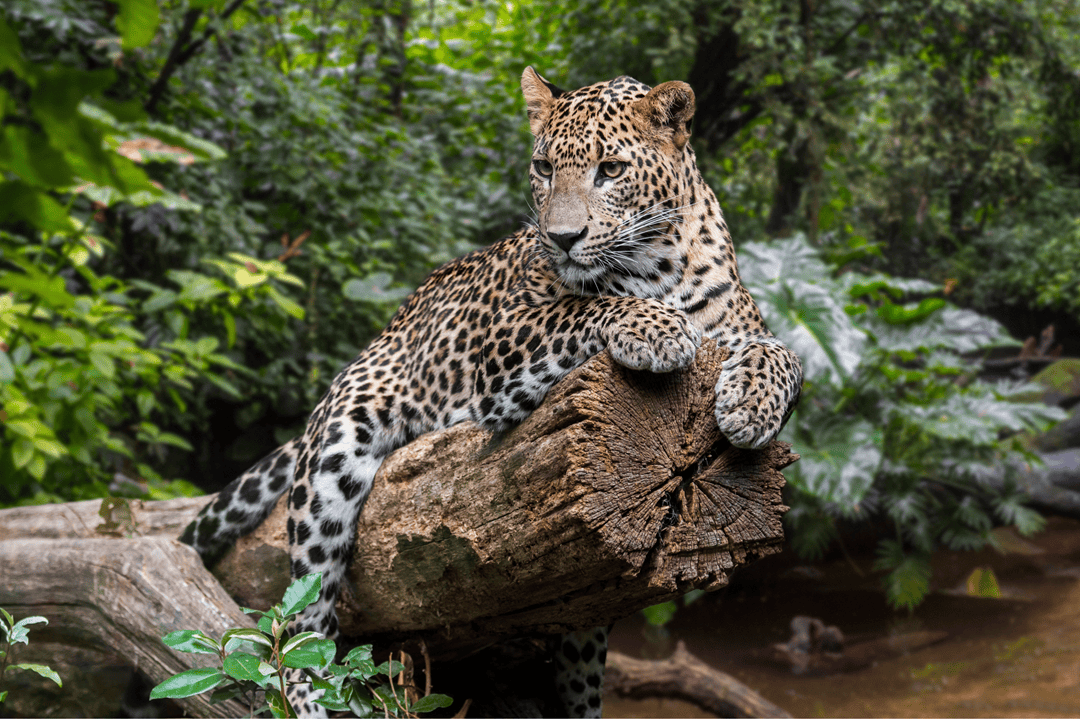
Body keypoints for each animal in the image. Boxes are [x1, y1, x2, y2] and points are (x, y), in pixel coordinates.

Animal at [179, 65, 803, 712]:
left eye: (611, 169)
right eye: (544, 168)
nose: (562, 237)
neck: (659, 265)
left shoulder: (742, 327)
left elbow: (783, 354)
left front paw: (752, 407)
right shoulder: (505, 339)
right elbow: (584, 307)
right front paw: (656, 329)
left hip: (586, 608)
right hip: (334, 455)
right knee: (303, 623)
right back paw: (312, 699)